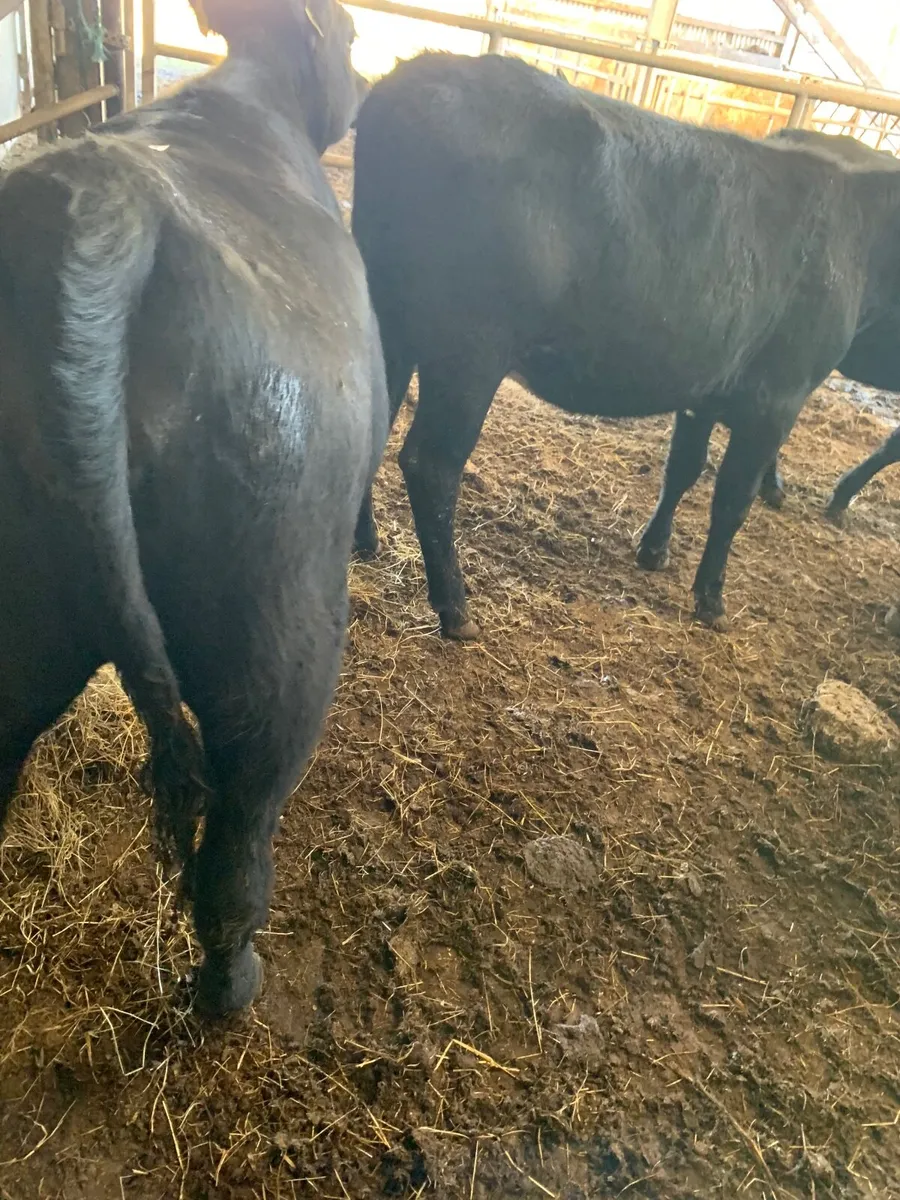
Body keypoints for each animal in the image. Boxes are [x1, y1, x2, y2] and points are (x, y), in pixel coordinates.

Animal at [0, 0, 387, 1017]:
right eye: (348, 34)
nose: (369, 84)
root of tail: (101, 208)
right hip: (277, 635)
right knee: (243, 819)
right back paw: (230, 983)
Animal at [352, 53, 900, 637]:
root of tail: (414, 76)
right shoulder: (778, 397)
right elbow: (733, 500)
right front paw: (711, 599)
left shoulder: (704, 386)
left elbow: (684, 467)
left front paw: (655, 551)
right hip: (470, 348)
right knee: (432, 463)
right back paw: (455, 607)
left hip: (392, 314)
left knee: (378, 420)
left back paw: (365, 540)